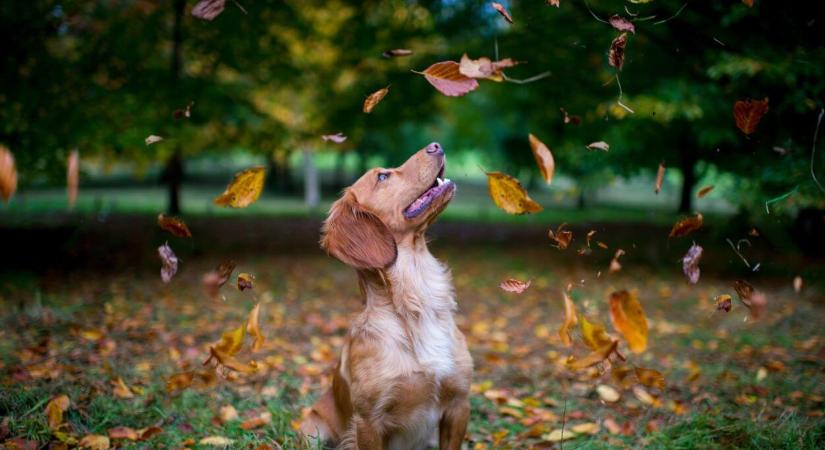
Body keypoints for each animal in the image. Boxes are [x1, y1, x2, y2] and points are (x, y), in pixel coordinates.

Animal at [300, 142, 470, 448]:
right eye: (382, 177)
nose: (436, 145)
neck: (417, 304)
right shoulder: (369, 421)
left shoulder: (459, 404)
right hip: (312, 428)